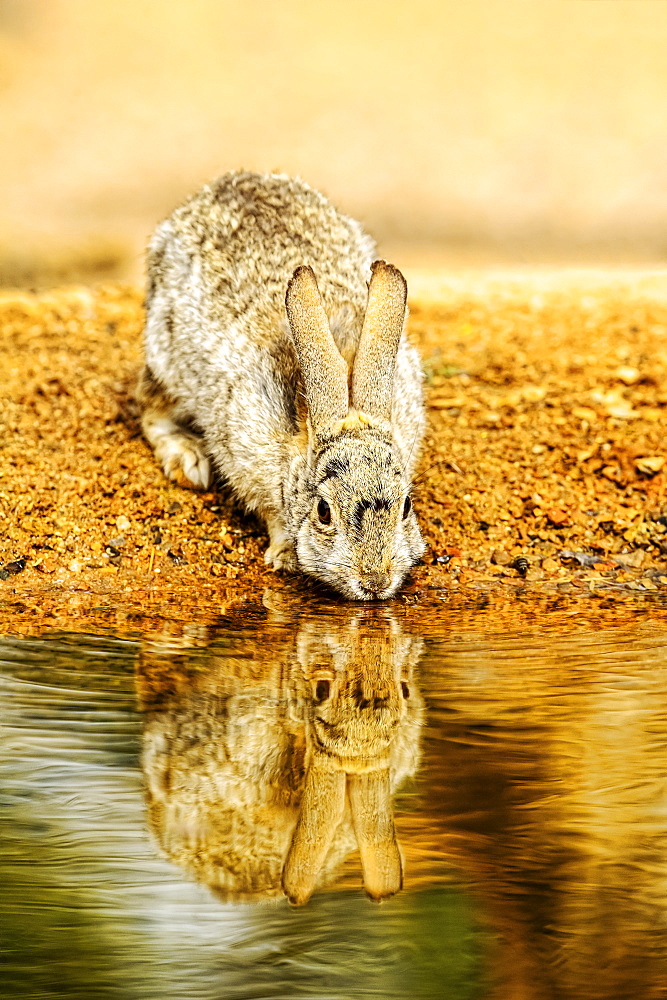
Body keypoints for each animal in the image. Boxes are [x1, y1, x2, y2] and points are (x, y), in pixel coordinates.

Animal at [138, 170, 426, 600]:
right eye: (324, 512)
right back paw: (188, 461)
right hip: (165, 360)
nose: (374, 582)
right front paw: (284, 555)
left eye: (405, 506)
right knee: (150, 411)